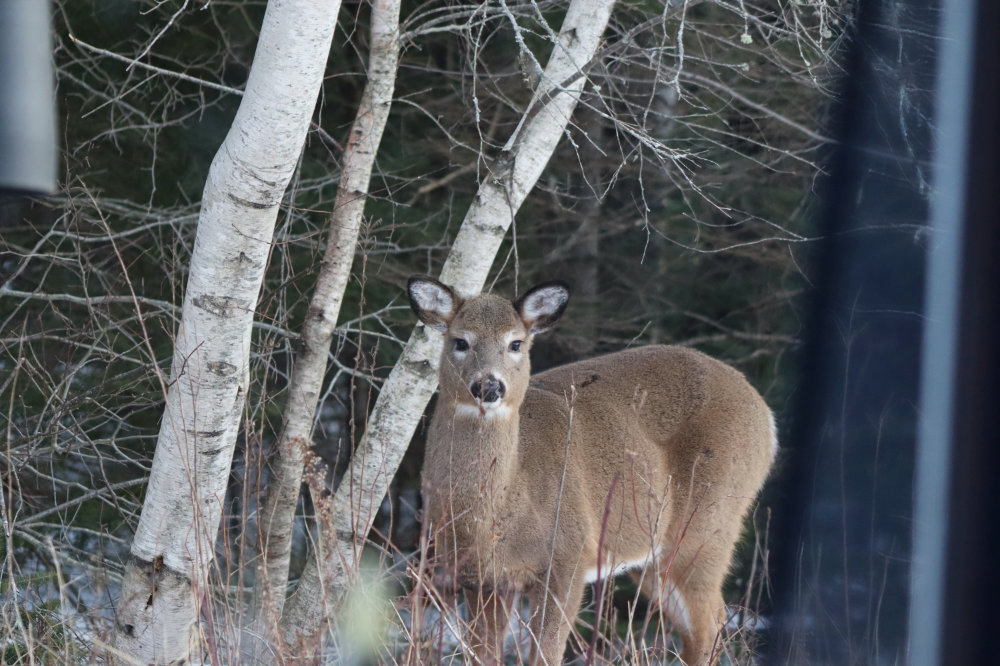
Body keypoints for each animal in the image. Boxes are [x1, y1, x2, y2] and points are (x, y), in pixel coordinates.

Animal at [406, 276, 772, 664]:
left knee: (711, 622)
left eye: (515, 342)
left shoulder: (569, 556)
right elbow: (484, 653)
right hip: (654, 554)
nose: (488, 386)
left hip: (709, 525)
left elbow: (546, 652)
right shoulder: (479, 578)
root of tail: (765, 414)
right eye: (460, 341)